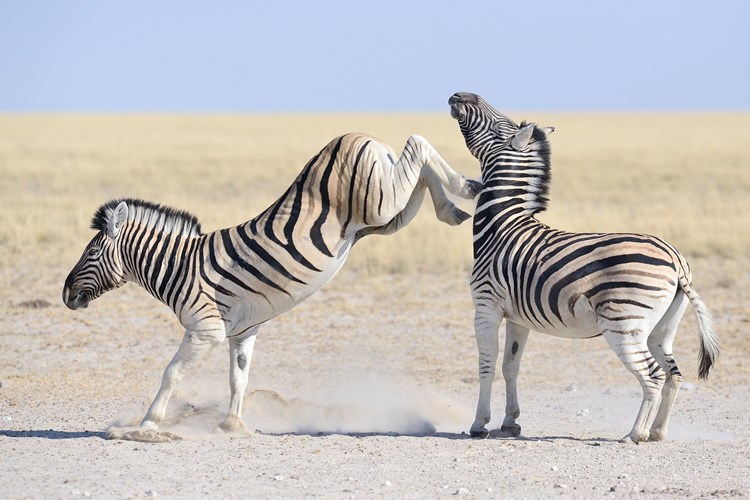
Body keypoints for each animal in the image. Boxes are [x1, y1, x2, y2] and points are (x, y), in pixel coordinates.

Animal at [61, 133, 478, 434]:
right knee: (419, 172)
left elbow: (172, 372)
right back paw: (455, 205)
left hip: (380, 202)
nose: (65, 295)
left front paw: (148, 423)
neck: (179, 267)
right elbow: (238, 379)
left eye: (91, 252)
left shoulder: (205, 329)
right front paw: (231, 425)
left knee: (417, 143)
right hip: (387, 216)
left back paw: (462, 188)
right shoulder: (242, 331)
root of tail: (356, 136)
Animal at [450, 92, 720, 444]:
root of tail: (675, 259)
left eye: (499, 125)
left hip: (623, 324)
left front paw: (479, 424)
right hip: (661, 328)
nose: (460, 95)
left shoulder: (486, 306)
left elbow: (487, 364)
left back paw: (635, 433)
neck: (501, 225)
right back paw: (658, 432)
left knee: (653, 376)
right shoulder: (517, 317)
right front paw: (510, 423)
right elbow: (511, 365)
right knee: (673, 374)